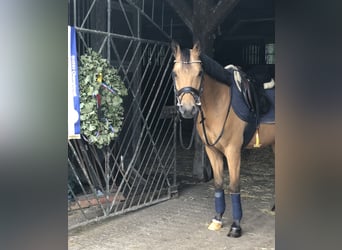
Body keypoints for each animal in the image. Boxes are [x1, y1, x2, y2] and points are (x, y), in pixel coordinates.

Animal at [171, 41, 276, 238]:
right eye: (174, 73)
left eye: (200, 73)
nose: (188, 109)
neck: (218, 104)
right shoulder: (212, 151)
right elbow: (219, 184)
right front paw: (217, 219)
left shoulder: (233, 152)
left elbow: (234, 186)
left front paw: (235, 226)